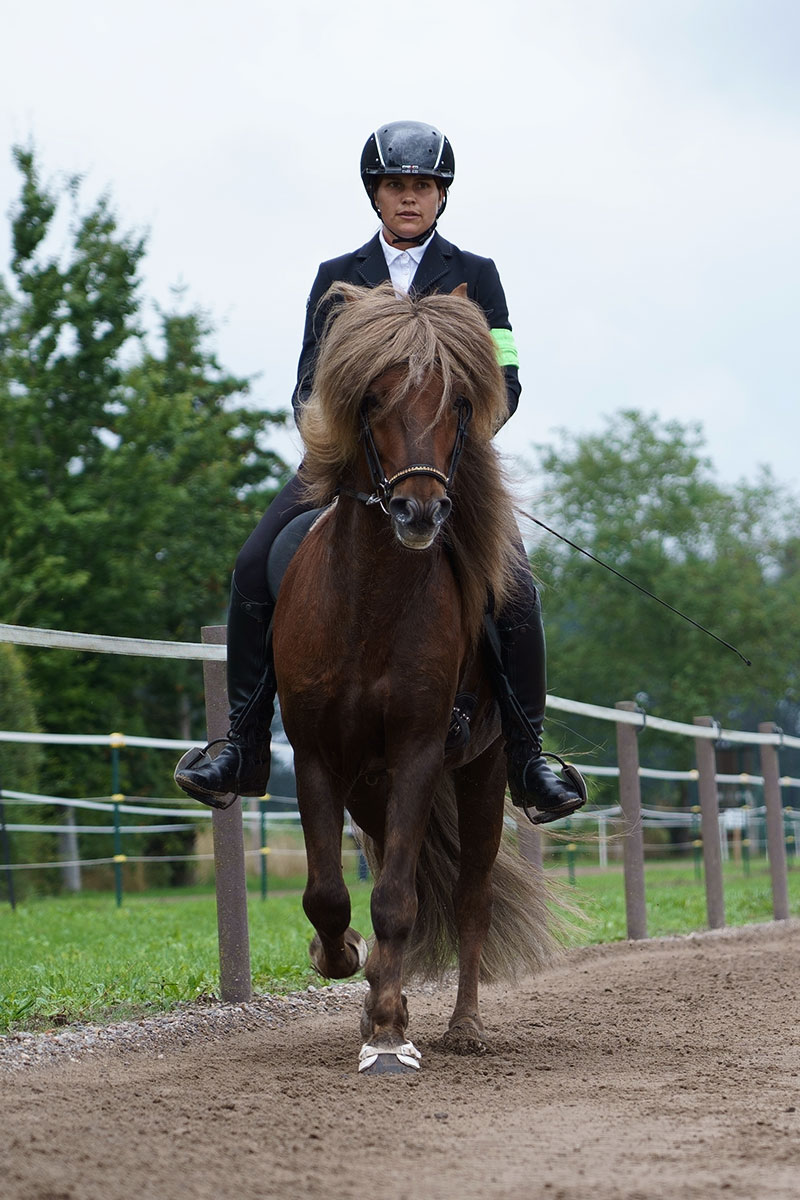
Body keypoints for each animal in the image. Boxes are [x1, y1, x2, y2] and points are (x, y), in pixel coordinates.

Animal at [273, 285, 556, 1075]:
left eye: (459, 402)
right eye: (371, 398)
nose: (420, 510)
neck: (370, 606)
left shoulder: (420, 753)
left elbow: (398, 899)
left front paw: (389, 1029)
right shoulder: (317, 757)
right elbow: (328, 895)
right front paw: (342, 961)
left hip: (482, 770)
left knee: (467, 897)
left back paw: (462, 1026)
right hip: (370, 788)